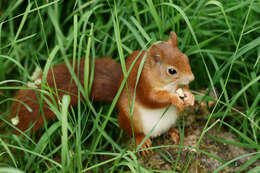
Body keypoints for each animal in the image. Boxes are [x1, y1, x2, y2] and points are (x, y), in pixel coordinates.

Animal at [9, 32, 193, 154]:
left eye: (186, 58)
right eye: (171, 70)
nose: (192, 78)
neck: (167, 84)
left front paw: (189, 96)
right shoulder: (142, 83)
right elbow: (151, 99)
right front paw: (174, 99)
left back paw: (173, 132)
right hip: (130, 118)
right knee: (132, 132)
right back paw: (142, 141)